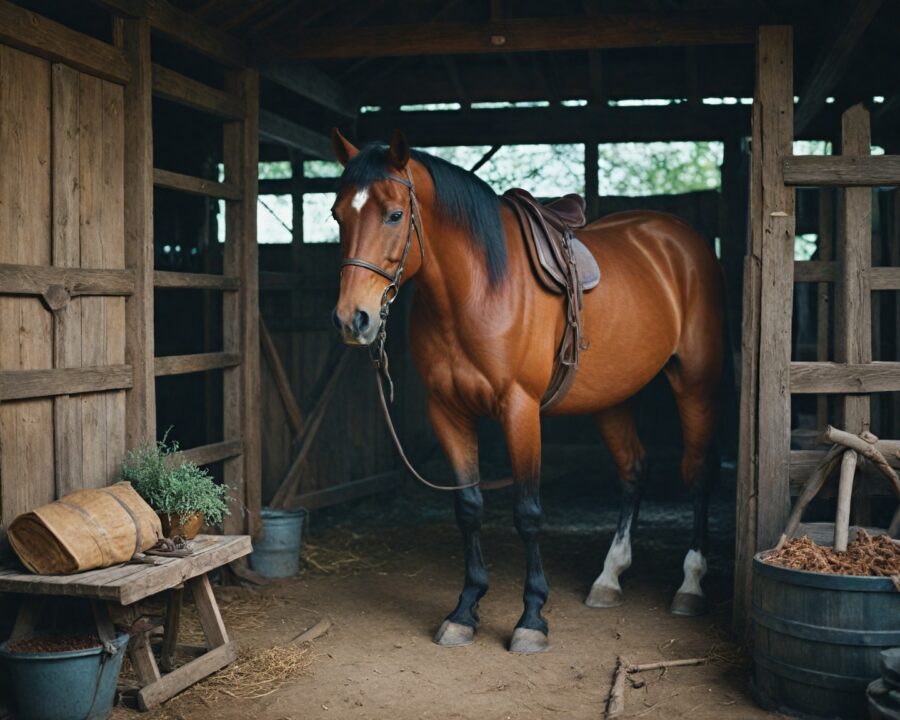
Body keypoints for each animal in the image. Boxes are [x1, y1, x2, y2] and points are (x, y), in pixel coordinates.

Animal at [330, 129, 724, 654]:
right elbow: (469, 508)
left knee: (697, 473)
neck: (477, 289)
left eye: (394, 214)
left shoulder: (520, 409)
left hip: (696, 383)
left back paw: (690, 585)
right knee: (633, 471)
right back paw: (609, 578)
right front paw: (464, 610)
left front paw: (532, 617)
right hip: (613, 398)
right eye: (338, 214)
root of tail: (678, 238)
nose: (352, 319)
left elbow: (528, 512)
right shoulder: (448, 412)